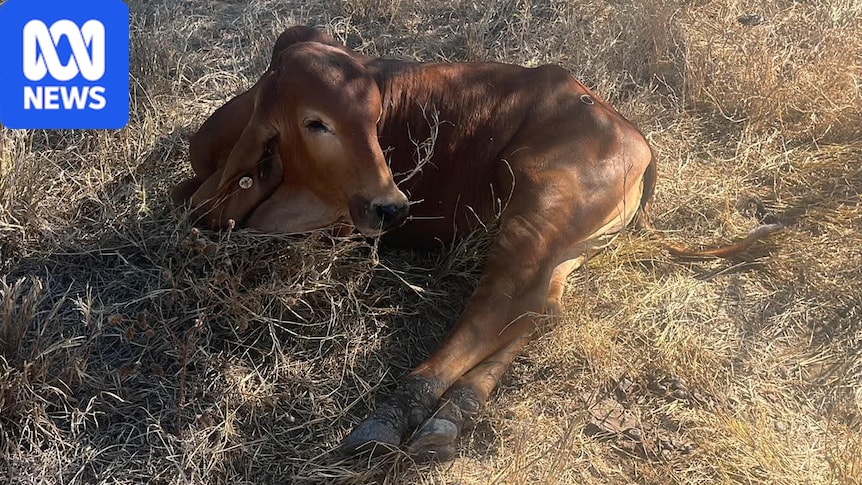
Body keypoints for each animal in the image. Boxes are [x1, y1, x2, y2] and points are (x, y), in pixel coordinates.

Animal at [172, 26, 781, 461]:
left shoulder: (332, 222)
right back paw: (453, 416)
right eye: (315, 122)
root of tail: (636, 139)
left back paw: (398, 414)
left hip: (538, 212)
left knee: (496, 305)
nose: (392, 205)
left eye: (376, 117)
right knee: (538, 309)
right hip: (565, 248)